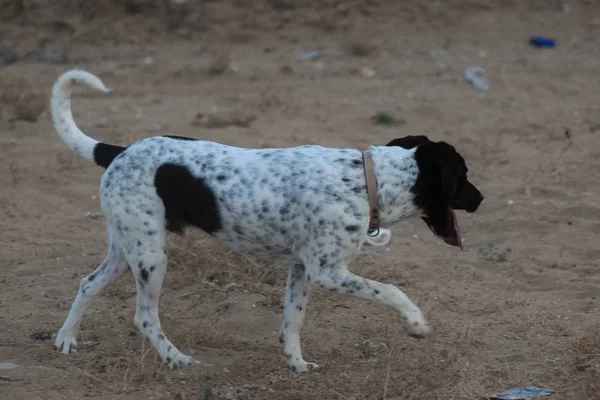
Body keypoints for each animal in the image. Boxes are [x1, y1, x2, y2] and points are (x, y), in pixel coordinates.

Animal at [50, 69, 482, 372]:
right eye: (462, 175)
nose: (481, 199)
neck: (366, 182)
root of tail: (119, 151)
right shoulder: (328, 272)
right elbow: (391, 290)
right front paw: (416, 322)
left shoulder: (302, 269)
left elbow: (292, 321)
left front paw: (296, 364)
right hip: (151, 258)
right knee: (144, 317)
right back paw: (176, 360)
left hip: (128, 249)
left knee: (88, 283)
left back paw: (66, 339)